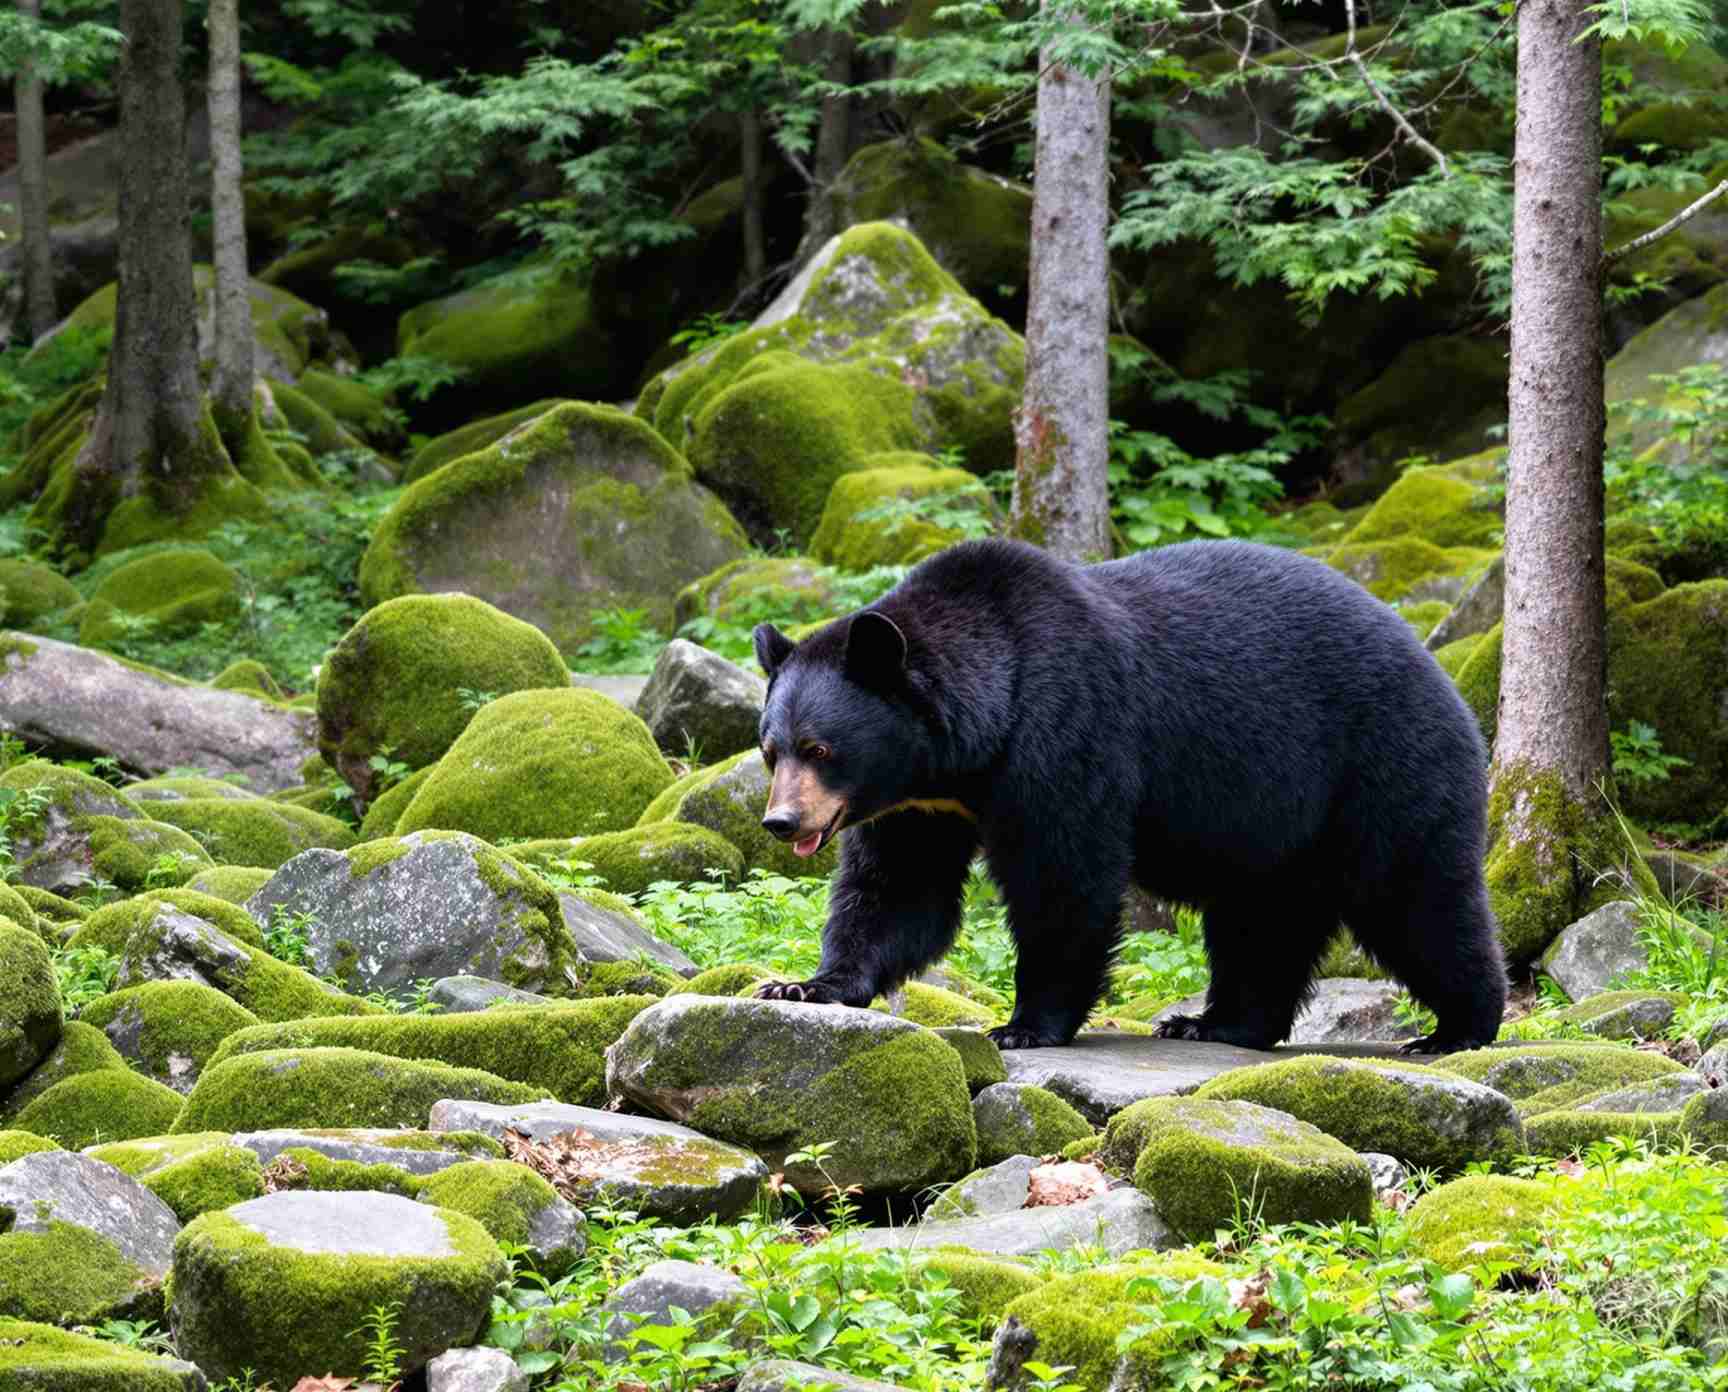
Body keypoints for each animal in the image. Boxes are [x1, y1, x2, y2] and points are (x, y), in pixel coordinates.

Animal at [749, 536, 1508, 1053]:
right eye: (771, 749)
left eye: (821, 748)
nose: (782, 821)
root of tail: (1442, 672)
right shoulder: (921, 807)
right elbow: (900, 891)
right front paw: (803, 985)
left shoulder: (1066, 731)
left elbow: (1063, 876)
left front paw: (1024, 1025)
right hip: (1278, 826)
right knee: (1263, 918)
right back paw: (1216, 1022)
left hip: (1380, 767)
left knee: (1415, 895)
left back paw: (1458, 1026)